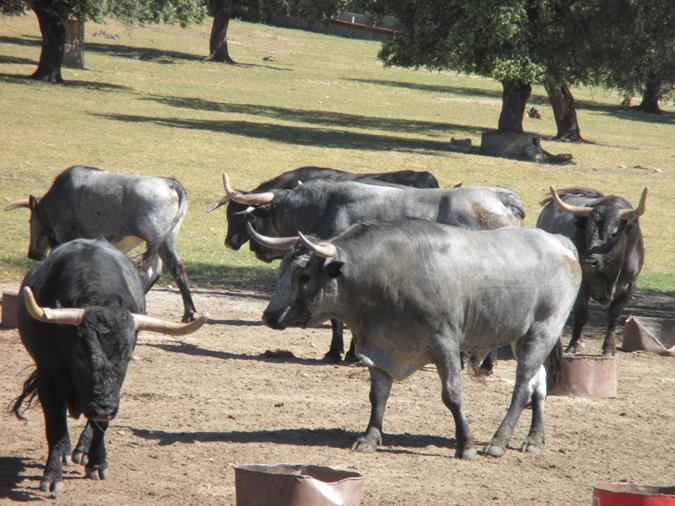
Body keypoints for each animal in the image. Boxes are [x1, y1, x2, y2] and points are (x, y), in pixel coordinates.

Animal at [5, 168, 201, 322]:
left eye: (30, 220)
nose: (32, 254)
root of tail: (170, 183)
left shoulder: (64, 233)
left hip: (161, 241)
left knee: (176, 268)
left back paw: (189, 313)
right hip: (157, 241)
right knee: (155, 272)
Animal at [11, 238, 207, 494]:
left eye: (128, 357)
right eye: (81, 354)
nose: (104, 407)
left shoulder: (114, 388)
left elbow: (100, 425)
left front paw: (97, 463)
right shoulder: (47, 375)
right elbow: (55, 426)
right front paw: (52, 475)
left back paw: (82, 450)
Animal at [255, 220, 580, 458]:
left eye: (304, 276)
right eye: (282, 270)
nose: (269, 315)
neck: (391, 273)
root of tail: (559, 242)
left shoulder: (445, 344)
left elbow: (452, 395)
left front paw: (466, 444)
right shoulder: (380, 346)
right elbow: (378, 395)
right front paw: (370, 438)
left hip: (543, 330)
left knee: (523, 386)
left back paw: (499, 441)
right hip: (521, 336)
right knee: (538, 386)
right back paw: (534, 439)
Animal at [536, 186, 648, 356]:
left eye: (614, 234)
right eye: (587, 232)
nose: (589, 261)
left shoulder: (629, 286)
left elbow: (614, 314)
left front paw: (609, 347)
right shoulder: (582, 284)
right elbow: (582, 313)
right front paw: (574, 345)